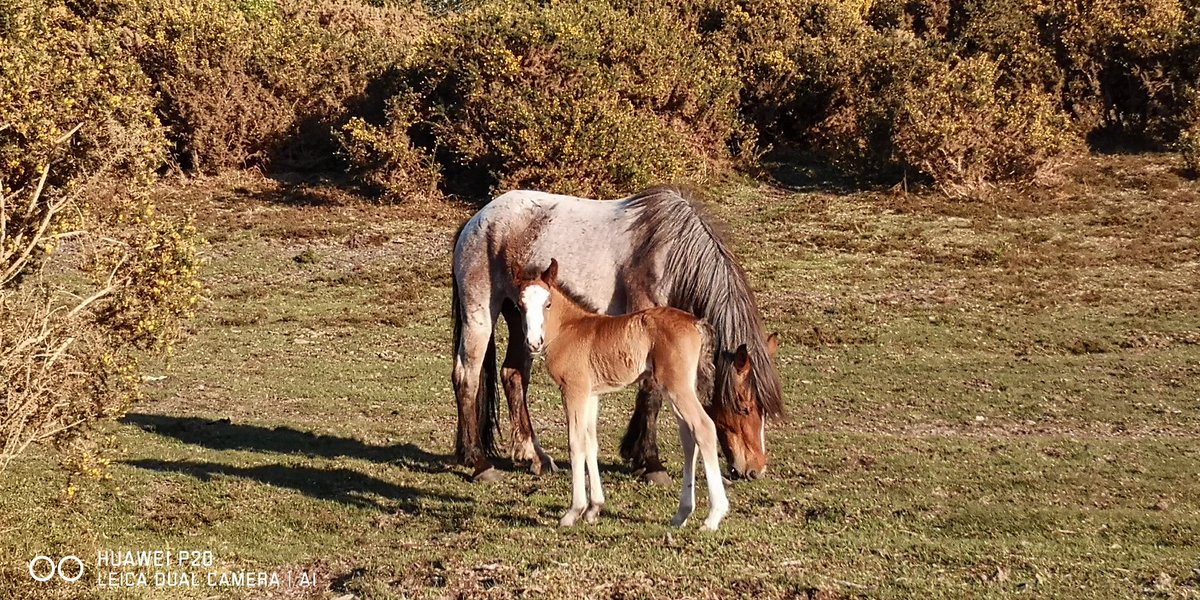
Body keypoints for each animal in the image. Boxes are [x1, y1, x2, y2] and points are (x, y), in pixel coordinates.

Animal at [451, 185, 783, 483]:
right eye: (744, 406)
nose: (756, 469)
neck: (668, 254)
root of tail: (476, 221)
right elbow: (651, 393)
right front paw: (651, 463)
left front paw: (637, 455)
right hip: (481, 316)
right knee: (466, 378)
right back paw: (478, 462)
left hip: (525, 323)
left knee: (514, 375)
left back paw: (534, 456)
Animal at [518, 259, 729, 529]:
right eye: (521, 304)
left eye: (548, 303)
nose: (533, 343)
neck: (570, 328)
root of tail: (696, 323)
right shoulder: (592, 394)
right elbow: (591, 442)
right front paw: (594, 508)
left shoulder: (574, 389)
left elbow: (576, 443)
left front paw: (573, 512)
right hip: (679, 387)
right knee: (689, 437)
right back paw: (681, 514)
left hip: (677, 386)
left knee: (704, 427)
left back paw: (714, 516)